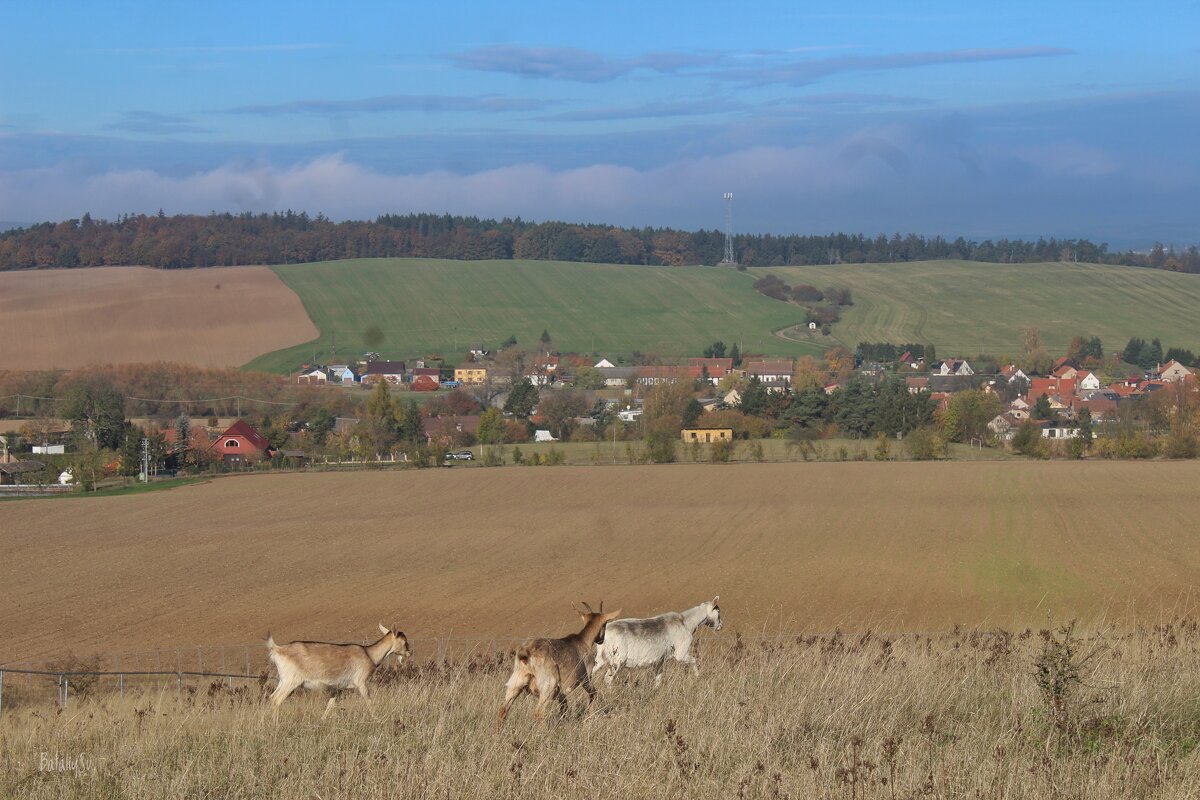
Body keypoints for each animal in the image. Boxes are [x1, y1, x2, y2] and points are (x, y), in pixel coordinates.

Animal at [265, 623, 410, 714]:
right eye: (404, 641)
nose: (409, 653)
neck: (369, 654)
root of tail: (277, 649)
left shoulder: (338, 688)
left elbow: (330, 706)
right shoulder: (361, 682)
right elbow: (369, 702)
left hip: (283, 680)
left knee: (271, 697)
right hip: (291, 681)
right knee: (276, 700)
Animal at [496, 599, 624, 724]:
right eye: (605, 624)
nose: (601, 640)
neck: (581, 641)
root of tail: (527, 653)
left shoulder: (560, 693)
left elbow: (564, 706)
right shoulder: (585, 678)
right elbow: (593, 693)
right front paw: (589, 716)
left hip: (516, 685)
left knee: (503, 710)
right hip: (548, 687)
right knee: (539, 713)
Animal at [592, 594, 720, 690]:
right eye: (718, 613)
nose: (720, 626)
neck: (686, 622)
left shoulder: (660, 660)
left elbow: (659, 678)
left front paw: (657, 689)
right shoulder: (681, 653)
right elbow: (694, 660)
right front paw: (698, 677)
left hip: (601, 660)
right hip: (617, 662)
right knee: (608, 679)